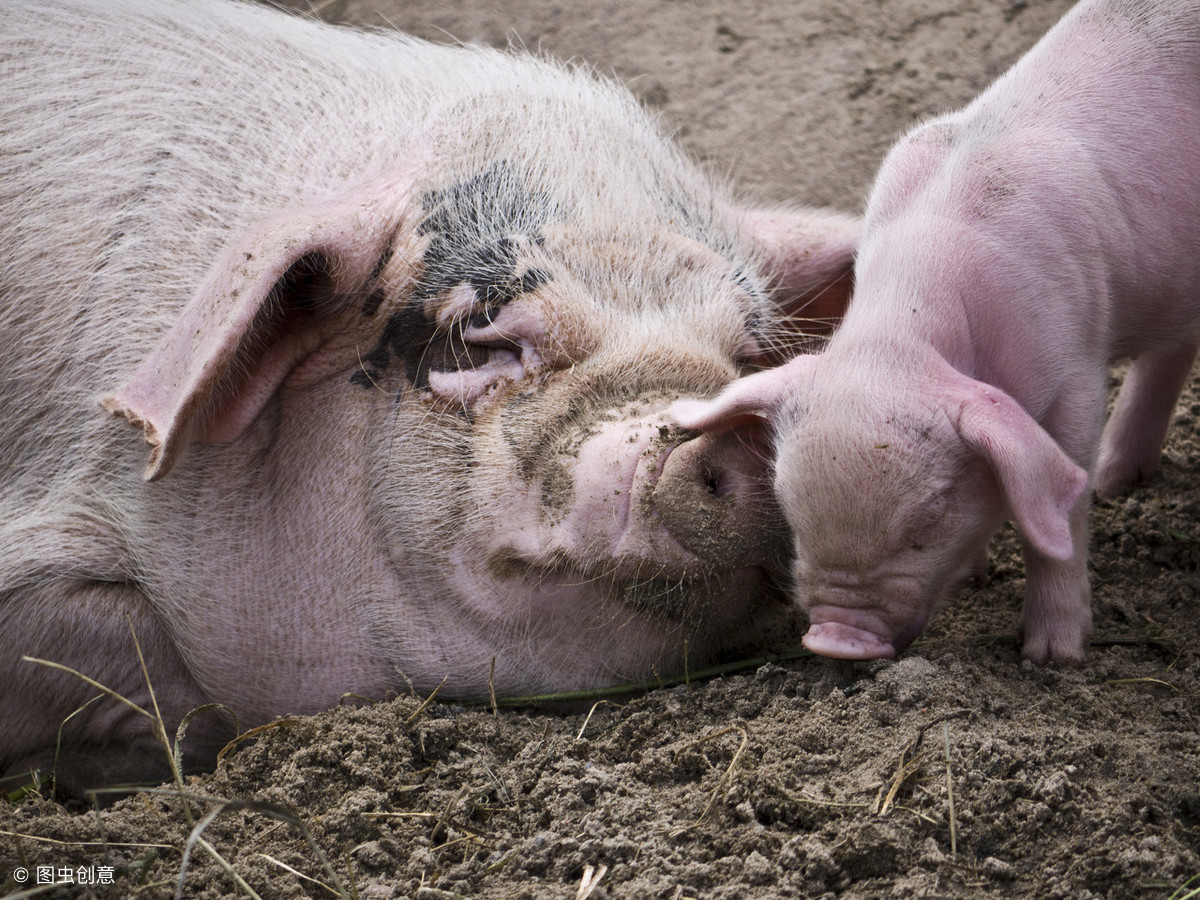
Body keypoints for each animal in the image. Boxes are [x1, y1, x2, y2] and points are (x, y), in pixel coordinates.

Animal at [681, 0, 1200, 662]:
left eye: (929, 517)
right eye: (790, 509)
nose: (834, 639)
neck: (899, 337)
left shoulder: (1077, 367)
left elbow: (1058, 515)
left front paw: (1050, 657)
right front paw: (979, 576)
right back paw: (1117, 482)